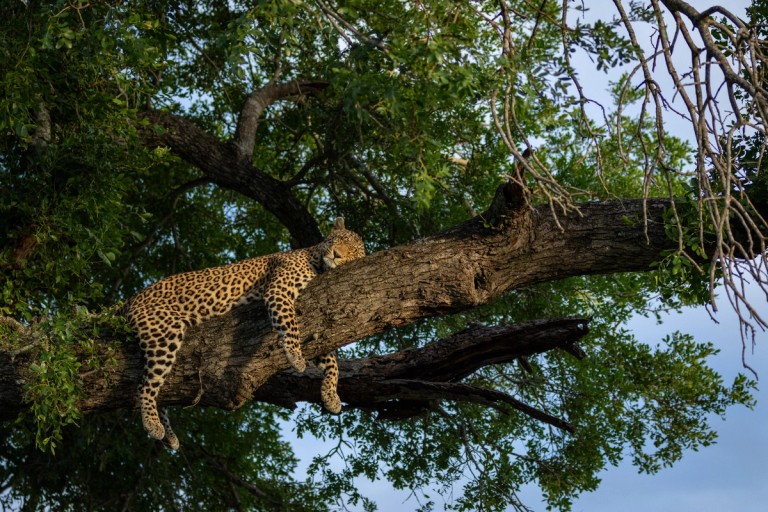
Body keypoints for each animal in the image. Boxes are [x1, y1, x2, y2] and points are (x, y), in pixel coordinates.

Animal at [125, 217, 365, 449]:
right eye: (339, 240)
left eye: (353, 252)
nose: (337, 254)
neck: (316, 260)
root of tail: (132, 298)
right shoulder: (279, 291)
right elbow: (291, 325)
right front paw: (296, 357)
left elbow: (330, 360)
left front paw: (331, 395)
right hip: (164, 332)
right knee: (143, 386)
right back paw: (152, 424)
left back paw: (169, 436)